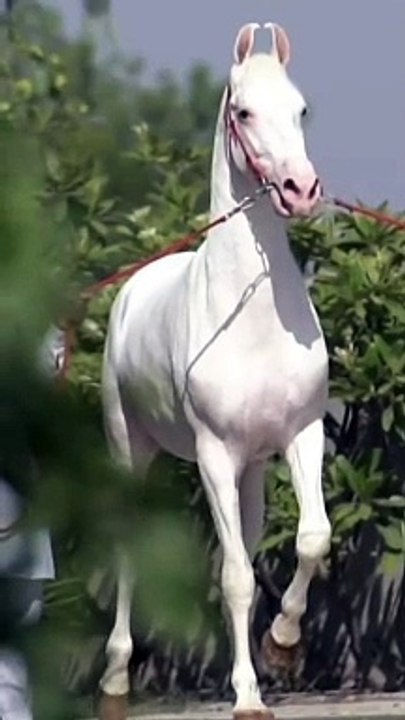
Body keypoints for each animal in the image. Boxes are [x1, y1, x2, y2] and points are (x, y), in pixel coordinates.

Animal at [99, 21, 332, 720]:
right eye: (244, 112)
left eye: (301, 108)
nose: (300, 190)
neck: (252, 318)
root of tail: (133, 288)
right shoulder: (213, 455)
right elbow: (232, 578)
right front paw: (249, 697)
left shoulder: (301, 435)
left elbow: (310, 539)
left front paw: (282, 644)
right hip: (132, 448)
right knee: (131, 552)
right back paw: (115, 676)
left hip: (252, 472)